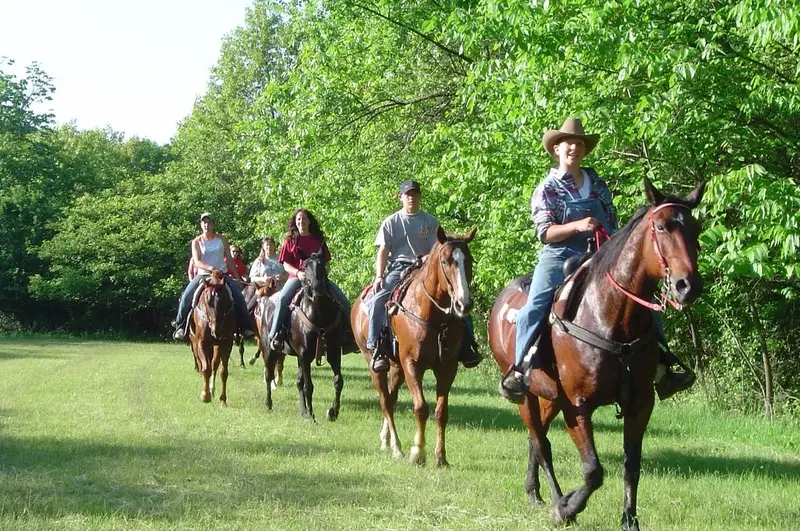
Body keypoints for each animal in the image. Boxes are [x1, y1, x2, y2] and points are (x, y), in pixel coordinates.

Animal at [189, 270, 236, 408]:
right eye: (207, 301)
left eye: (225, 301)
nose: (217, 331)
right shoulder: (202, 343)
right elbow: (205, 369)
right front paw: (205, 396)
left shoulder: (226, 343)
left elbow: (223, 372)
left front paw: (223, 400)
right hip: (195, 343)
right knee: (202, 365)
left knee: (214, 365)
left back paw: (212, 389)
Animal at [266, 251, 346, 422]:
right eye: (305, 266)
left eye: (321, 264)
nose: (317, 286)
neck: (319, 314)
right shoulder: (304, 354)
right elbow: (308, 386)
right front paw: (312, 415)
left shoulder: (333, 352)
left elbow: (338, 381)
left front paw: (333, 412)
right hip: (271, 350)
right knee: (269, 375)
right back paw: (268, 404)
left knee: (298, 381)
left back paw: (303, 411)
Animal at [352, 227, 476, 468]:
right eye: (446, 261)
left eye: (469, 260)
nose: (463, 304)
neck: (433, 317)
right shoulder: (412, 364)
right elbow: (421, 408)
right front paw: (418, 452)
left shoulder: (447, 368)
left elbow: (441, 412)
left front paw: (441, 457)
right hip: (375, 364)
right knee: (385, 401)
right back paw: (397, 447)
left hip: (396, 367)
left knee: (391, 399)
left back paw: (387, 441)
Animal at [488, 180, 708, 531]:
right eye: (661, 227)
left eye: (695, 228)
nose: (688, 285)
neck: (611, 318)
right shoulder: (577, 406)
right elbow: (593, 471)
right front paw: (567, 509)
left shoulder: (640, 404)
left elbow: (632, 465)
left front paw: (629, 519)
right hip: (526, 397)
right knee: (541, 442)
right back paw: (555, 499)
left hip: (547, 395)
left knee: (537, 441)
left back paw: (534, 493)